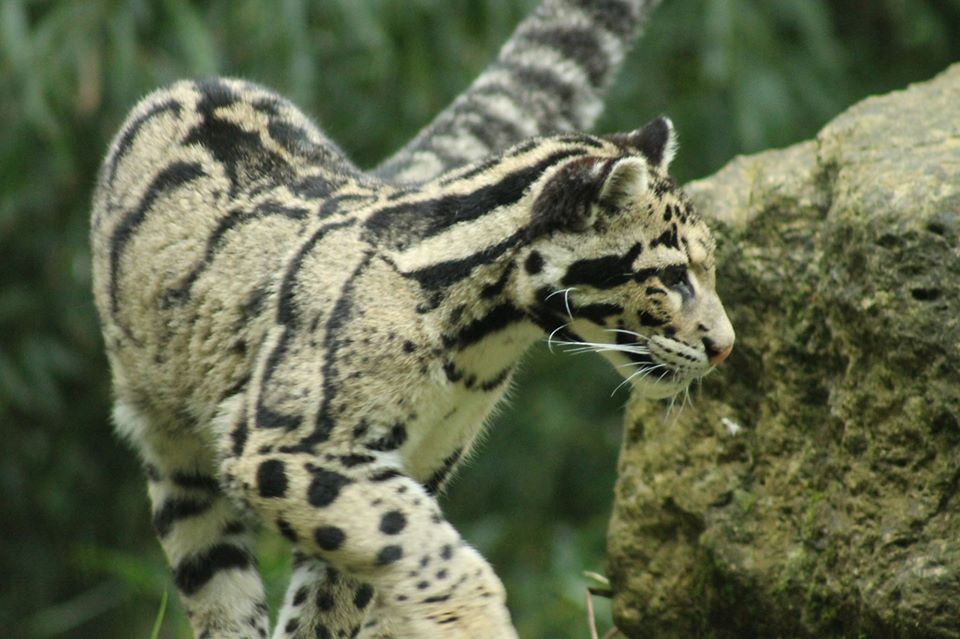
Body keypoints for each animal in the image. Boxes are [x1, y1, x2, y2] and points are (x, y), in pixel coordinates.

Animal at [89, 1, 734, 637]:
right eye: (674, 275)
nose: (725, 345)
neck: (479, 351)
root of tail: (195, 82)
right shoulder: (295, 445)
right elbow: (414, 542)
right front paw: (474, 622)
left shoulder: (422, 461)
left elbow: (340, 593)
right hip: (176, 457)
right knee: (217, 587)